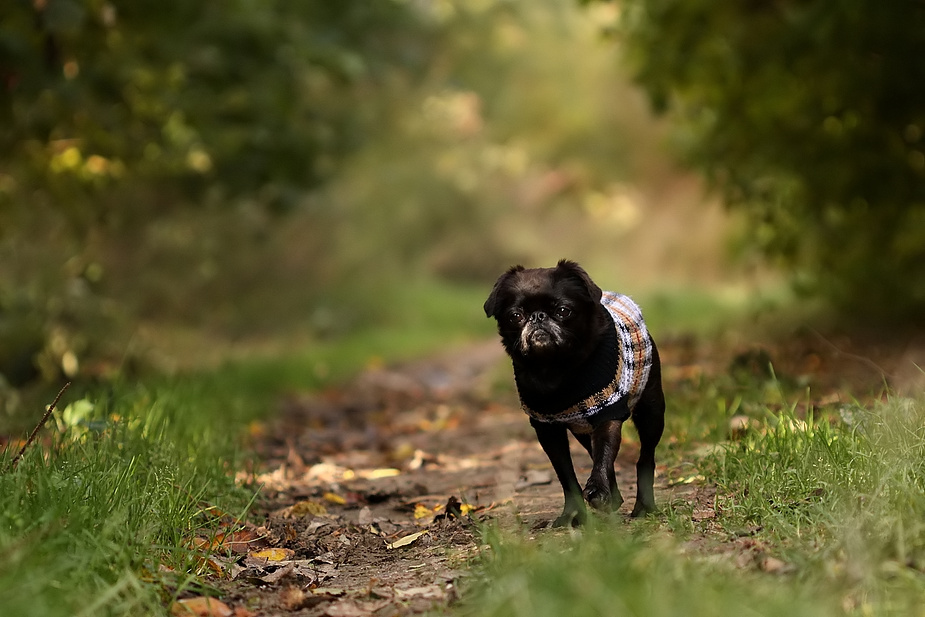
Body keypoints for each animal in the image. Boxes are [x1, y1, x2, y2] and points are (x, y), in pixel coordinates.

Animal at [484, 258, 664, 524]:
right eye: (515, 316)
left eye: (563, 311)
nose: (538, 317)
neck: (555, 369)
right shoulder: (547, 430)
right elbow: (566, 475)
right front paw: (574, 513)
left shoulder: (608, 414)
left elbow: (604, 455)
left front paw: (598, 490)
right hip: (582, 430)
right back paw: (614, 498)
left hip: (651, 411)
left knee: (645, 457)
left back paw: (643, 506)